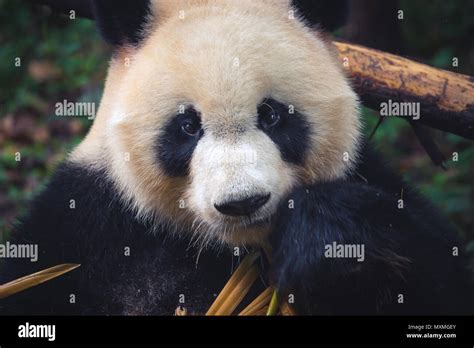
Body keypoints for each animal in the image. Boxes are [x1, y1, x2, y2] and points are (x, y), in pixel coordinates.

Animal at [0, 0, 472, 316]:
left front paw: (322, 238)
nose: (242, 202)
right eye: (188, 126)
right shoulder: (88, 222)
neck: (226, 247)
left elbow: (440, 276)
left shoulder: (366, 172)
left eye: (272, 114)